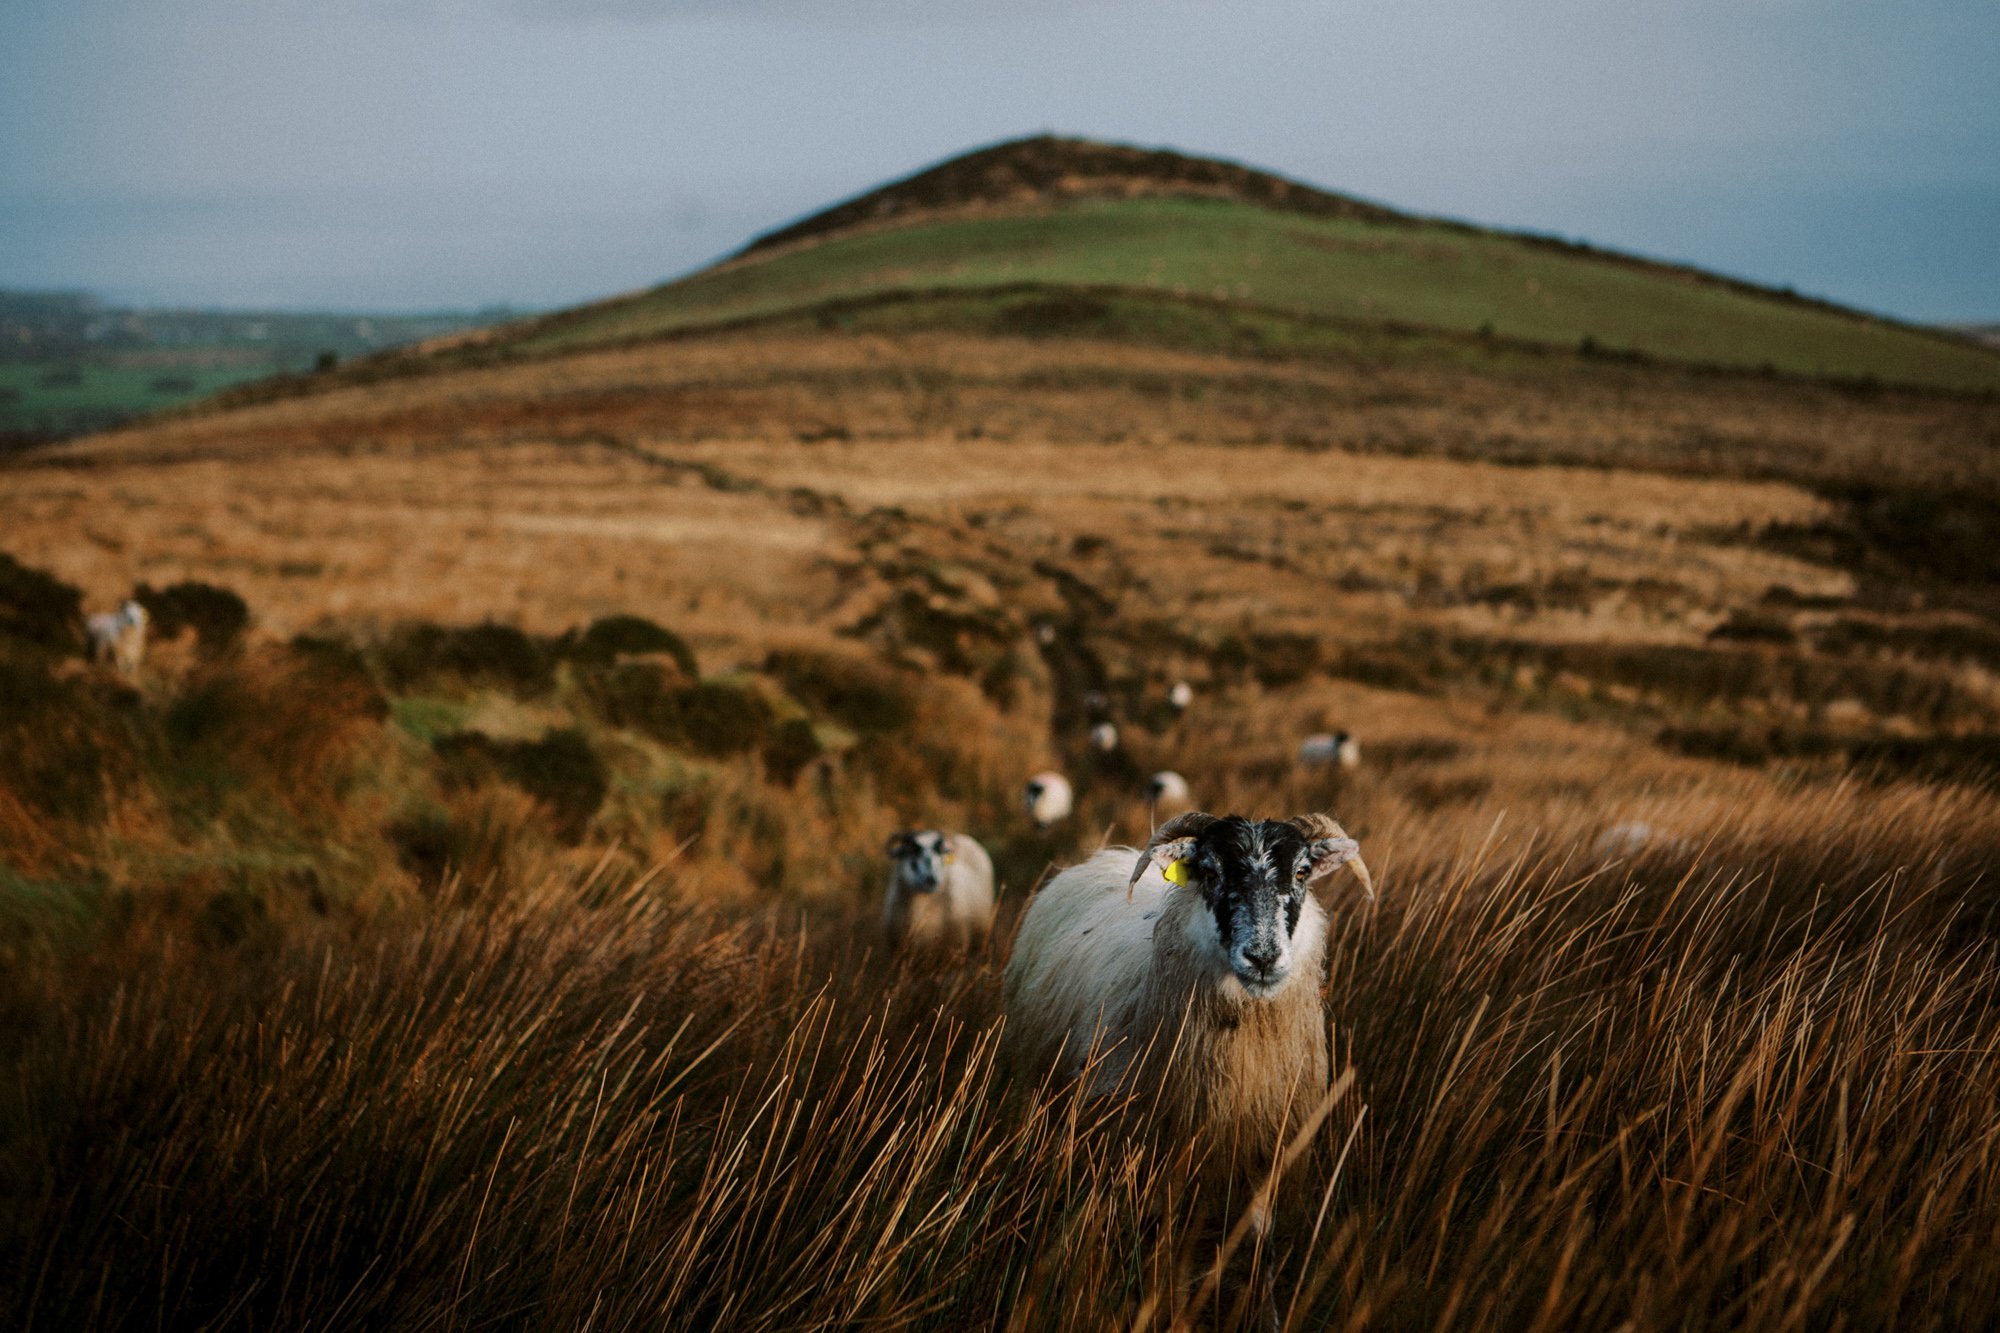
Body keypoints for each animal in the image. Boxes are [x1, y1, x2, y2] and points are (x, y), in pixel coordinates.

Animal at [1003, 811, 1373, 1323]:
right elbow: (1166, 1250)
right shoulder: (1157, 1157)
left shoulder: (1262, 1151)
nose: (1263, 957)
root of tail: (1107, 857)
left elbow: (1259, 1252)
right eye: (1211, 872)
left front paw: (1265, 1316)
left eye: (1301, 872)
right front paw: (1165, 1310)